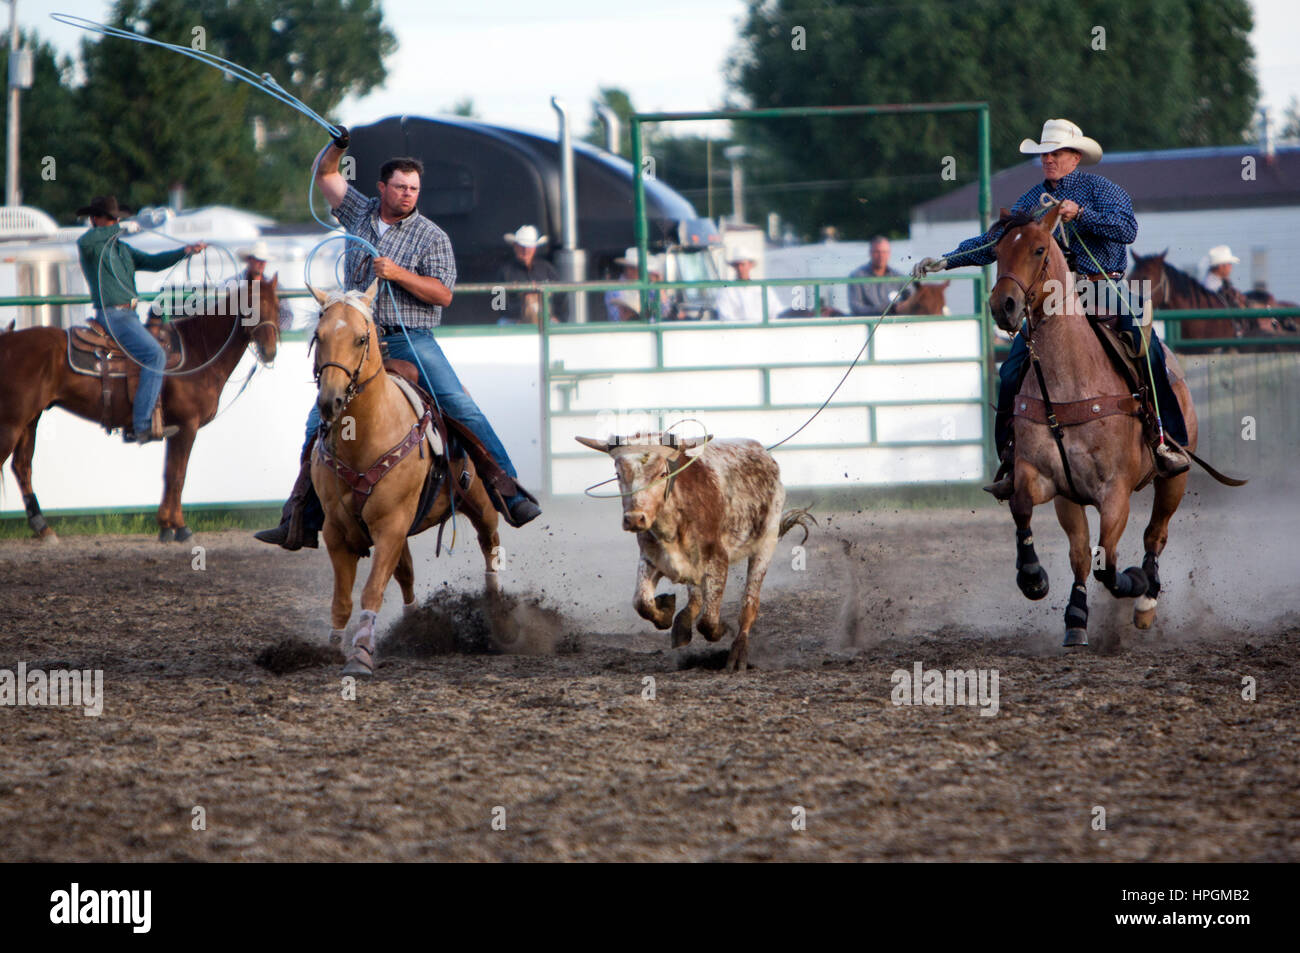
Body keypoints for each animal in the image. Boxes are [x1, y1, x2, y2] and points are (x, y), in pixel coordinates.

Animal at [0, 276, 283, 543]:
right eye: (251, 306)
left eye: (277, 306)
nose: (270, 351)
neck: (197, 352)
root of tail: (8, 340)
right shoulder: (187, 426)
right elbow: (178, 475)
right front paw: (180, 528)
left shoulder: (176, 429)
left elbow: (169, 474)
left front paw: (166, 527)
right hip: (12, 423)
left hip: (30, 421)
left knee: (22, 467)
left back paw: (43, 528)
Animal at [309, 282, 501, 676]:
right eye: (318, 336)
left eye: (361, 338)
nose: (330, 402)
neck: (364, 437)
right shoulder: (337, 531)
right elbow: (342, 601)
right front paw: (333, 649)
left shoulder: (391, 524)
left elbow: (371, 591)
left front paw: (360, 655)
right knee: (407, 574)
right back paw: (416, 627)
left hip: (482, 506)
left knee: (491, 548)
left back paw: (499, 616)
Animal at [993, 208, 1196, 647]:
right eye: (996, 250)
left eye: (1039, 249)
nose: (1003, 306)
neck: (1070, 380)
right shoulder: (1052, 483)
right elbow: (1044, 524)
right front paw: (1041, 586)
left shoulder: (1114, 491)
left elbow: (1108, 561)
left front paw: (1133, 583)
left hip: (1174, 479)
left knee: (1155, 534)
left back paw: (1146, 600)